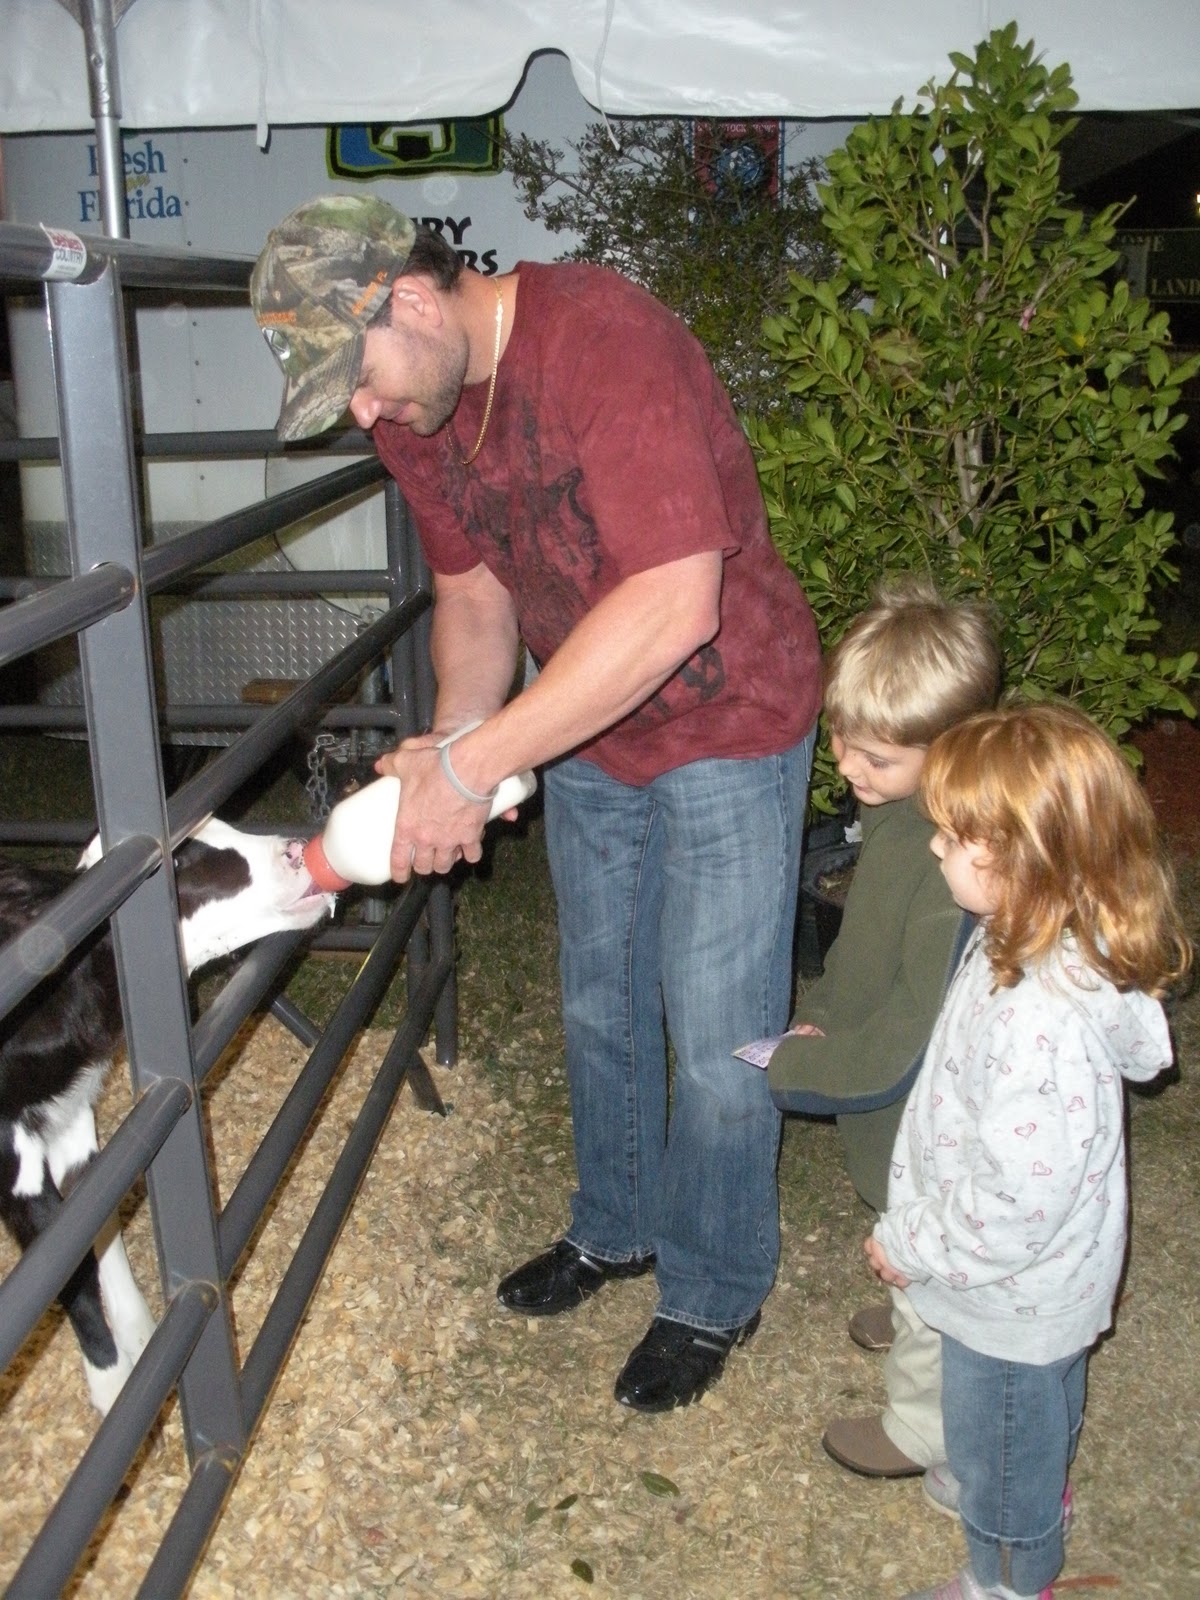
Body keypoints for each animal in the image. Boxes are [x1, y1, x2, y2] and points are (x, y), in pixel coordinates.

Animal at [0, 825, 334, 1414]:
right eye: (177, 860)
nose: (296, 850)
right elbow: (63, 1273)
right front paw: (112, 1388)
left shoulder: (71, 1116)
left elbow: (95, 1223)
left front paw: (140, 1338)